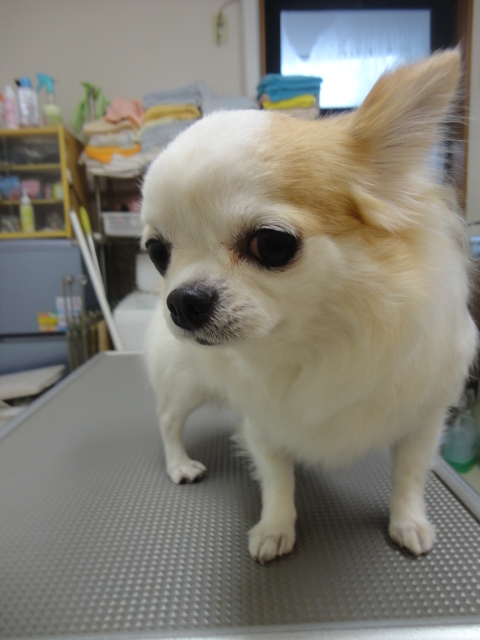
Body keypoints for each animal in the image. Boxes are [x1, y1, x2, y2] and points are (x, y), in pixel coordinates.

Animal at [141, 50, 477, 564]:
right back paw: (180, 463)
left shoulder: (423, 418)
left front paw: (408, 521)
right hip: (183, 383)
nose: (181, 300)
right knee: (167, 421)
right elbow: (277, 476)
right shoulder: (264, 421)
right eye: (157, 252)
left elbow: (410, 474)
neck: (315, 342)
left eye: (272, 244)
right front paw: (276, 527)